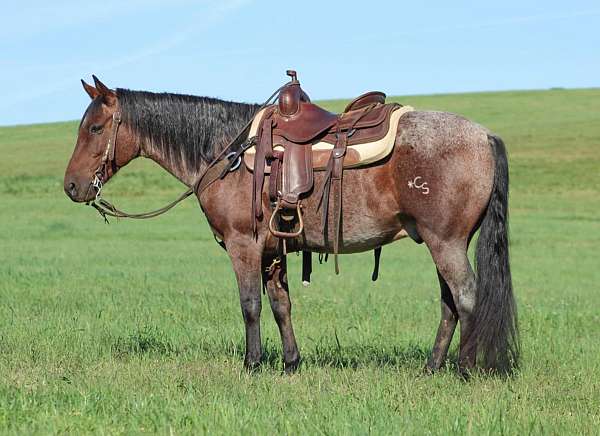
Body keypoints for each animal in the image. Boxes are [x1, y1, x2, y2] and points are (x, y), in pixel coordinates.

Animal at [63, 75, 516, 374]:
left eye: (96, 127)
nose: (71, 186)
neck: (226, 151)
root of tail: (485, 136)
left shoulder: (243, 245)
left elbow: (250, 304)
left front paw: (252, 364)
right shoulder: (272, 249)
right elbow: (281, 304)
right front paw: (290, 363)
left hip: (447, 242)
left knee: (466, 297)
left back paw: (465, 369)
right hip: (440, 242)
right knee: (449, 303)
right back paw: (431, 367)